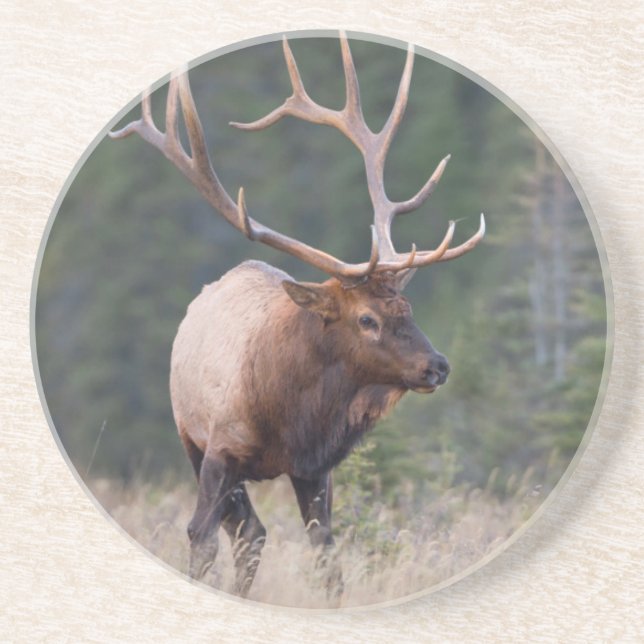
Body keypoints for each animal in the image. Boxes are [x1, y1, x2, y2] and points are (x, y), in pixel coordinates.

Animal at [110, 34, 484, 599]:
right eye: (367, 319)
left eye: (407, 307)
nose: (437, 365)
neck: (289, 415)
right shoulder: (218, 448)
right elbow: (200, 537)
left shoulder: (316, 468)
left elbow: (327, 557)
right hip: (189, 437)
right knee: (244, 531)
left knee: (254, 533)